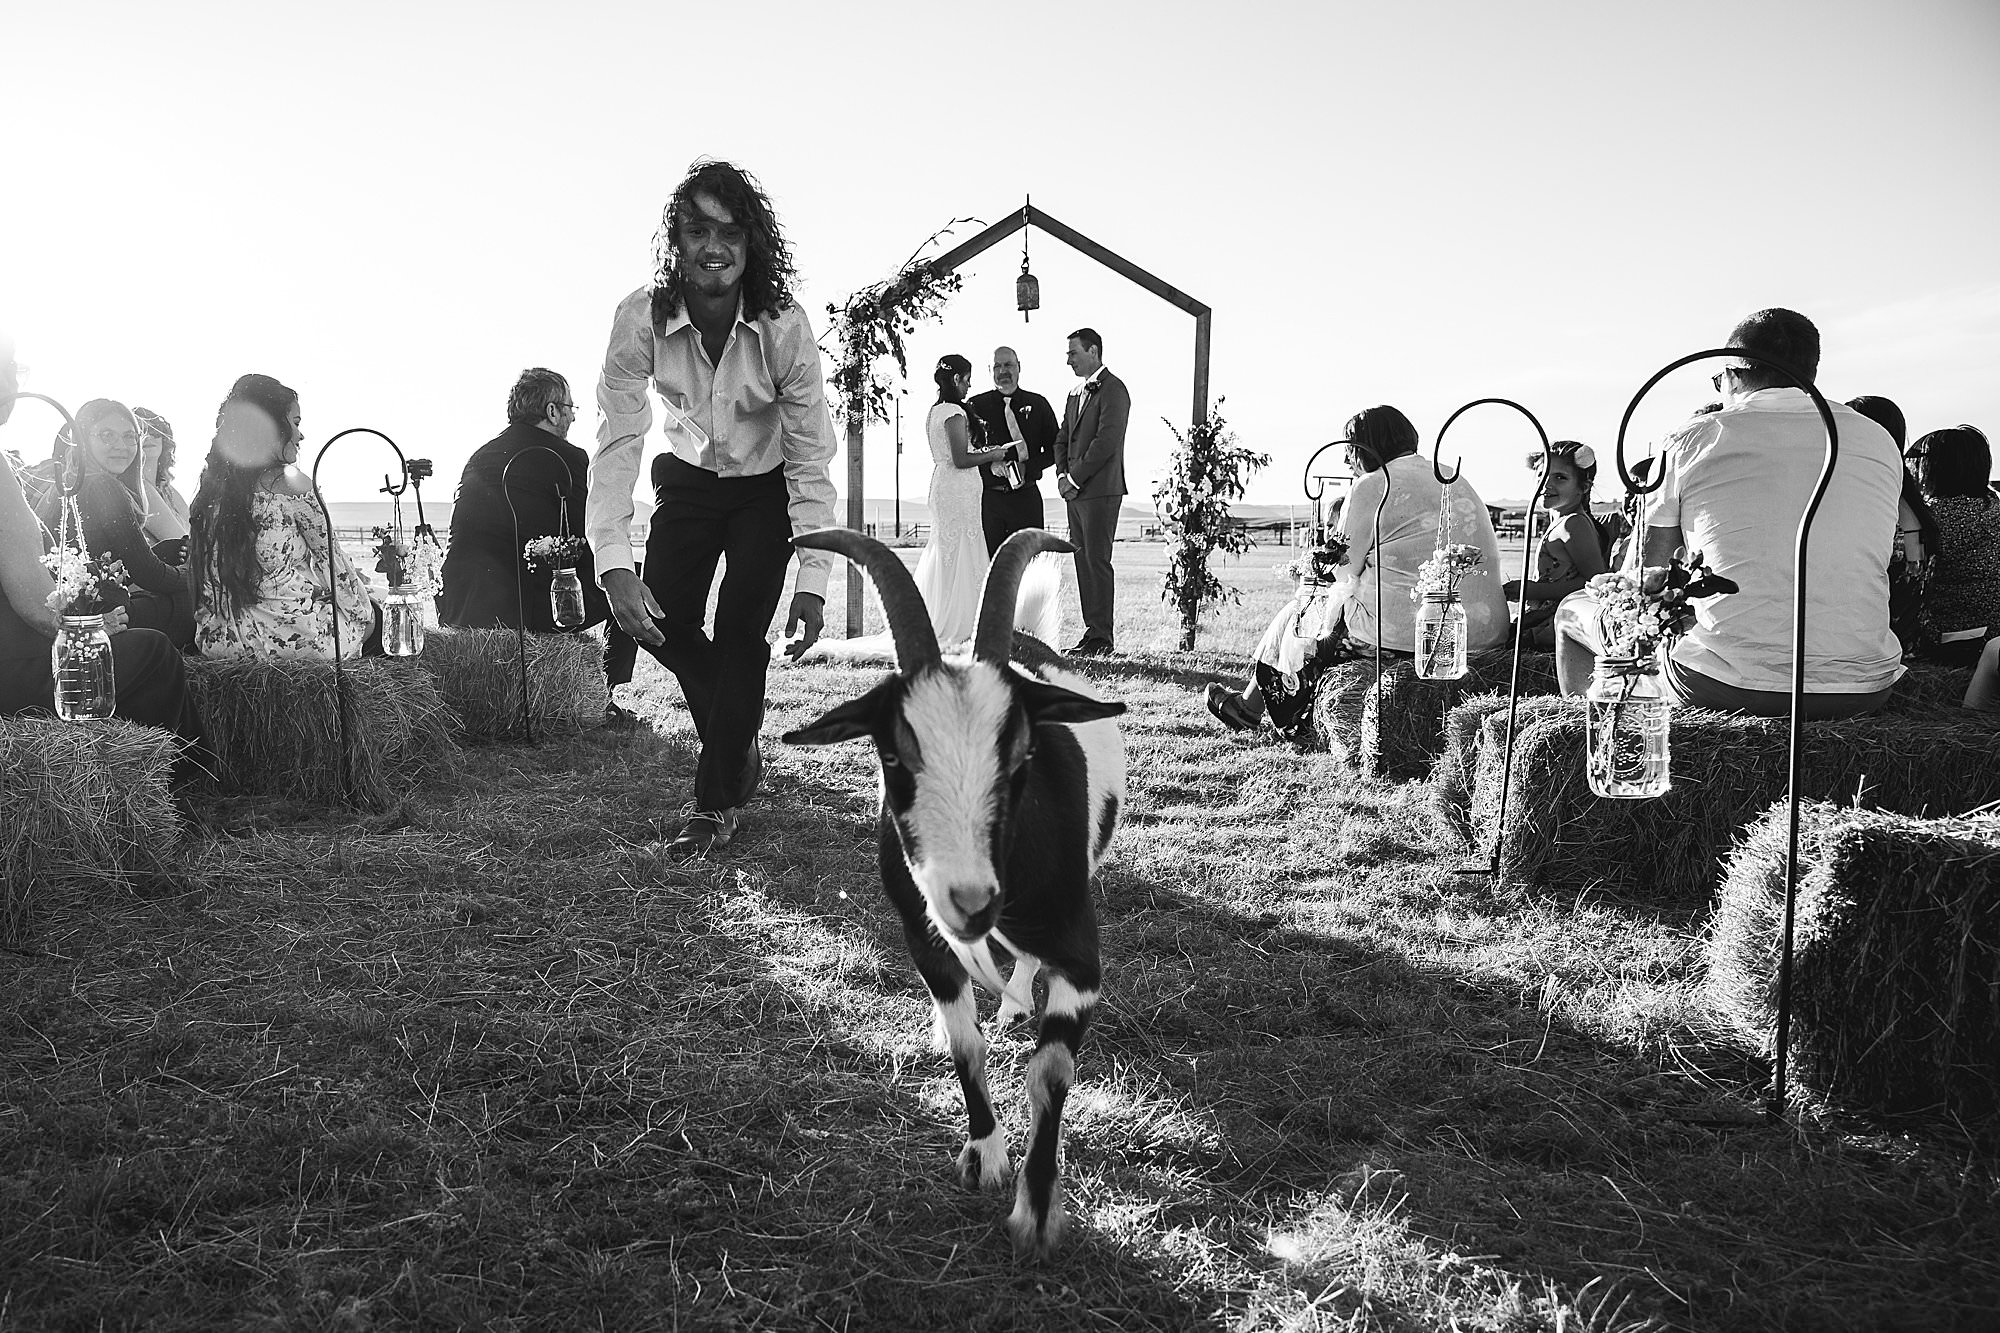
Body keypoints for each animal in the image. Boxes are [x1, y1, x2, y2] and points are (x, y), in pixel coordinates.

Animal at [780, 524, 1128, 1248]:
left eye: (1023, 752)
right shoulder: (925, 935)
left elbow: (1050, 1069)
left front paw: (1037, 1208)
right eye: (891, 753)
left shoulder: (1078, 948)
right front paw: (985, 1152)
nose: (971, 902)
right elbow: (966, 1041)